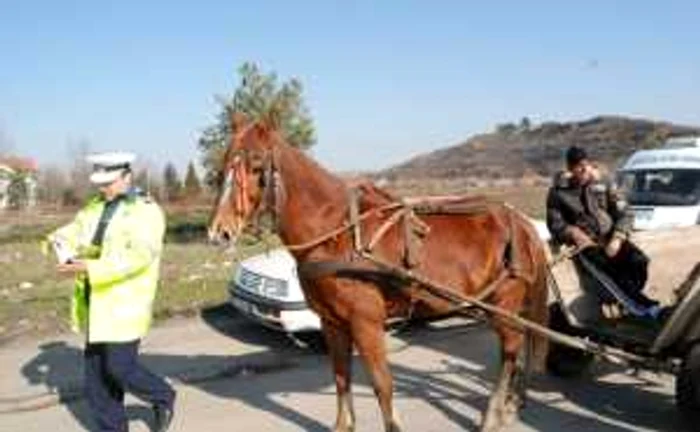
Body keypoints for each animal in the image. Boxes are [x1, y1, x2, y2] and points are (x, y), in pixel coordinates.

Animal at [211, 112, 548, 432]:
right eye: (224, 163)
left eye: (257, 166)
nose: (219, 233)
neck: (335, 234)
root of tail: (521, 222)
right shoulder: (332, 323)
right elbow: (341, 377)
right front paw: (343, 424)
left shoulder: (366, 322)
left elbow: (382, 384)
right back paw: (514, 401)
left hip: (504, 305)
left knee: (510, 350)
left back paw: (494, 413)